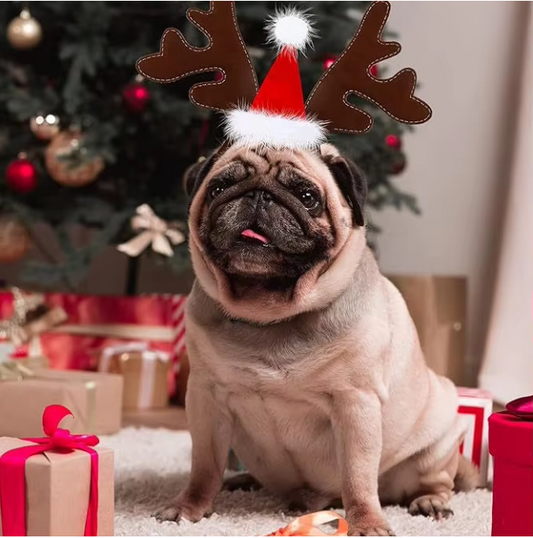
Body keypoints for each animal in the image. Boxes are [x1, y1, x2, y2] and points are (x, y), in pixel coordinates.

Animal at [155, 141, 478, 532]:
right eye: (219, 188)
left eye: (308, 197)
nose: (259, 195)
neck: (272, 315)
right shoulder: (206, 398)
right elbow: (204, 466)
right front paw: (189, 508)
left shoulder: (356, 404)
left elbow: (357, 477)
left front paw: (366, 522)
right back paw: (242, 480)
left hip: (439, 440)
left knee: (437, 481)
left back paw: (430, 502)